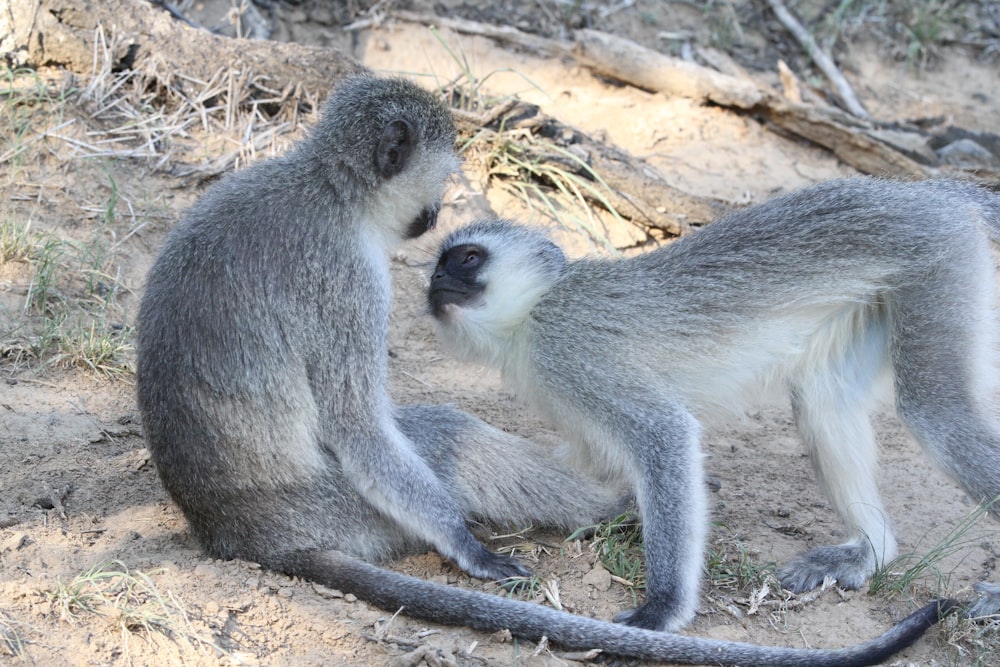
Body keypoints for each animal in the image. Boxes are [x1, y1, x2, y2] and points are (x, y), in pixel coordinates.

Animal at [430, 175, 1000, 636]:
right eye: (439, 265)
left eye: (468, 258)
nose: (434, 282)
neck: (531, 313)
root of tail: (923, 192)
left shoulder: (569, 348)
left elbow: (665, 435)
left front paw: (663, 609)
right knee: (824, 399)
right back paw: (871, 549)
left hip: (938, 263)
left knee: (937, 417)